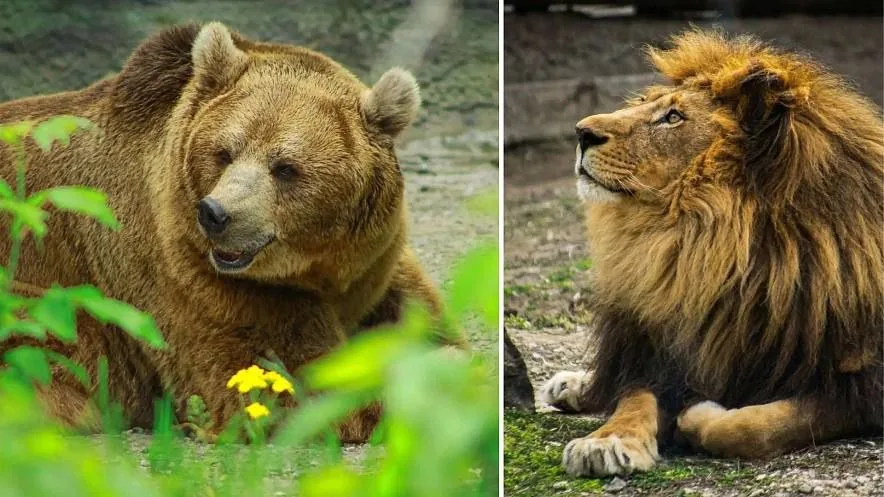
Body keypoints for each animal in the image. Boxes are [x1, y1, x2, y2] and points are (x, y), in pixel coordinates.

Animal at [0, 23, 453, 441]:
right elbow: (277, 379)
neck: (315, 271)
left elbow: (429, 329)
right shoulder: (193, 280)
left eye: (285, 167)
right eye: (224, 152)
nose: (215, 213)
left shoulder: (377, 266)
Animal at [541, 29, 883, 477]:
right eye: (646, 102)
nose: (581, 132)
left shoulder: (860, 384)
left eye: (673, 118)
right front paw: (606, 441)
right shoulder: (666, 350)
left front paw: (699, 414)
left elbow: (752, 428)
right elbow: (634, 396)